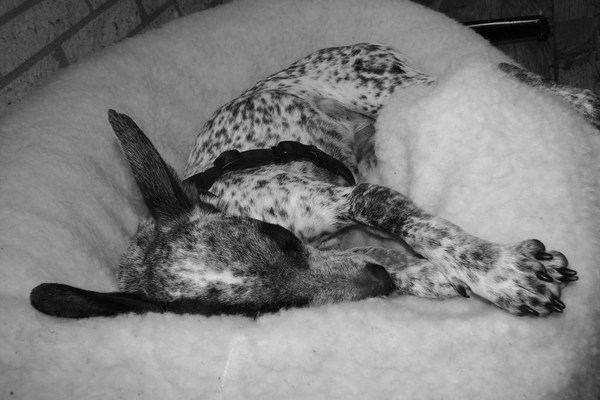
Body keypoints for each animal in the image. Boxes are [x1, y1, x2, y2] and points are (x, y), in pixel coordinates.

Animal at [31, 43, 585, 319]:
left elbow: (419, 226)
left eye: (279, 237)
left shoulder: (353, 196)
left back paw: (584, 102)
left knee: (509, 70)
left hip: (385, 89)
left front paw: (502, 272)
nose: (379, 281)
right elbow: (390, 260)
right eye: (273, 308)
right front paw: (433, 277)